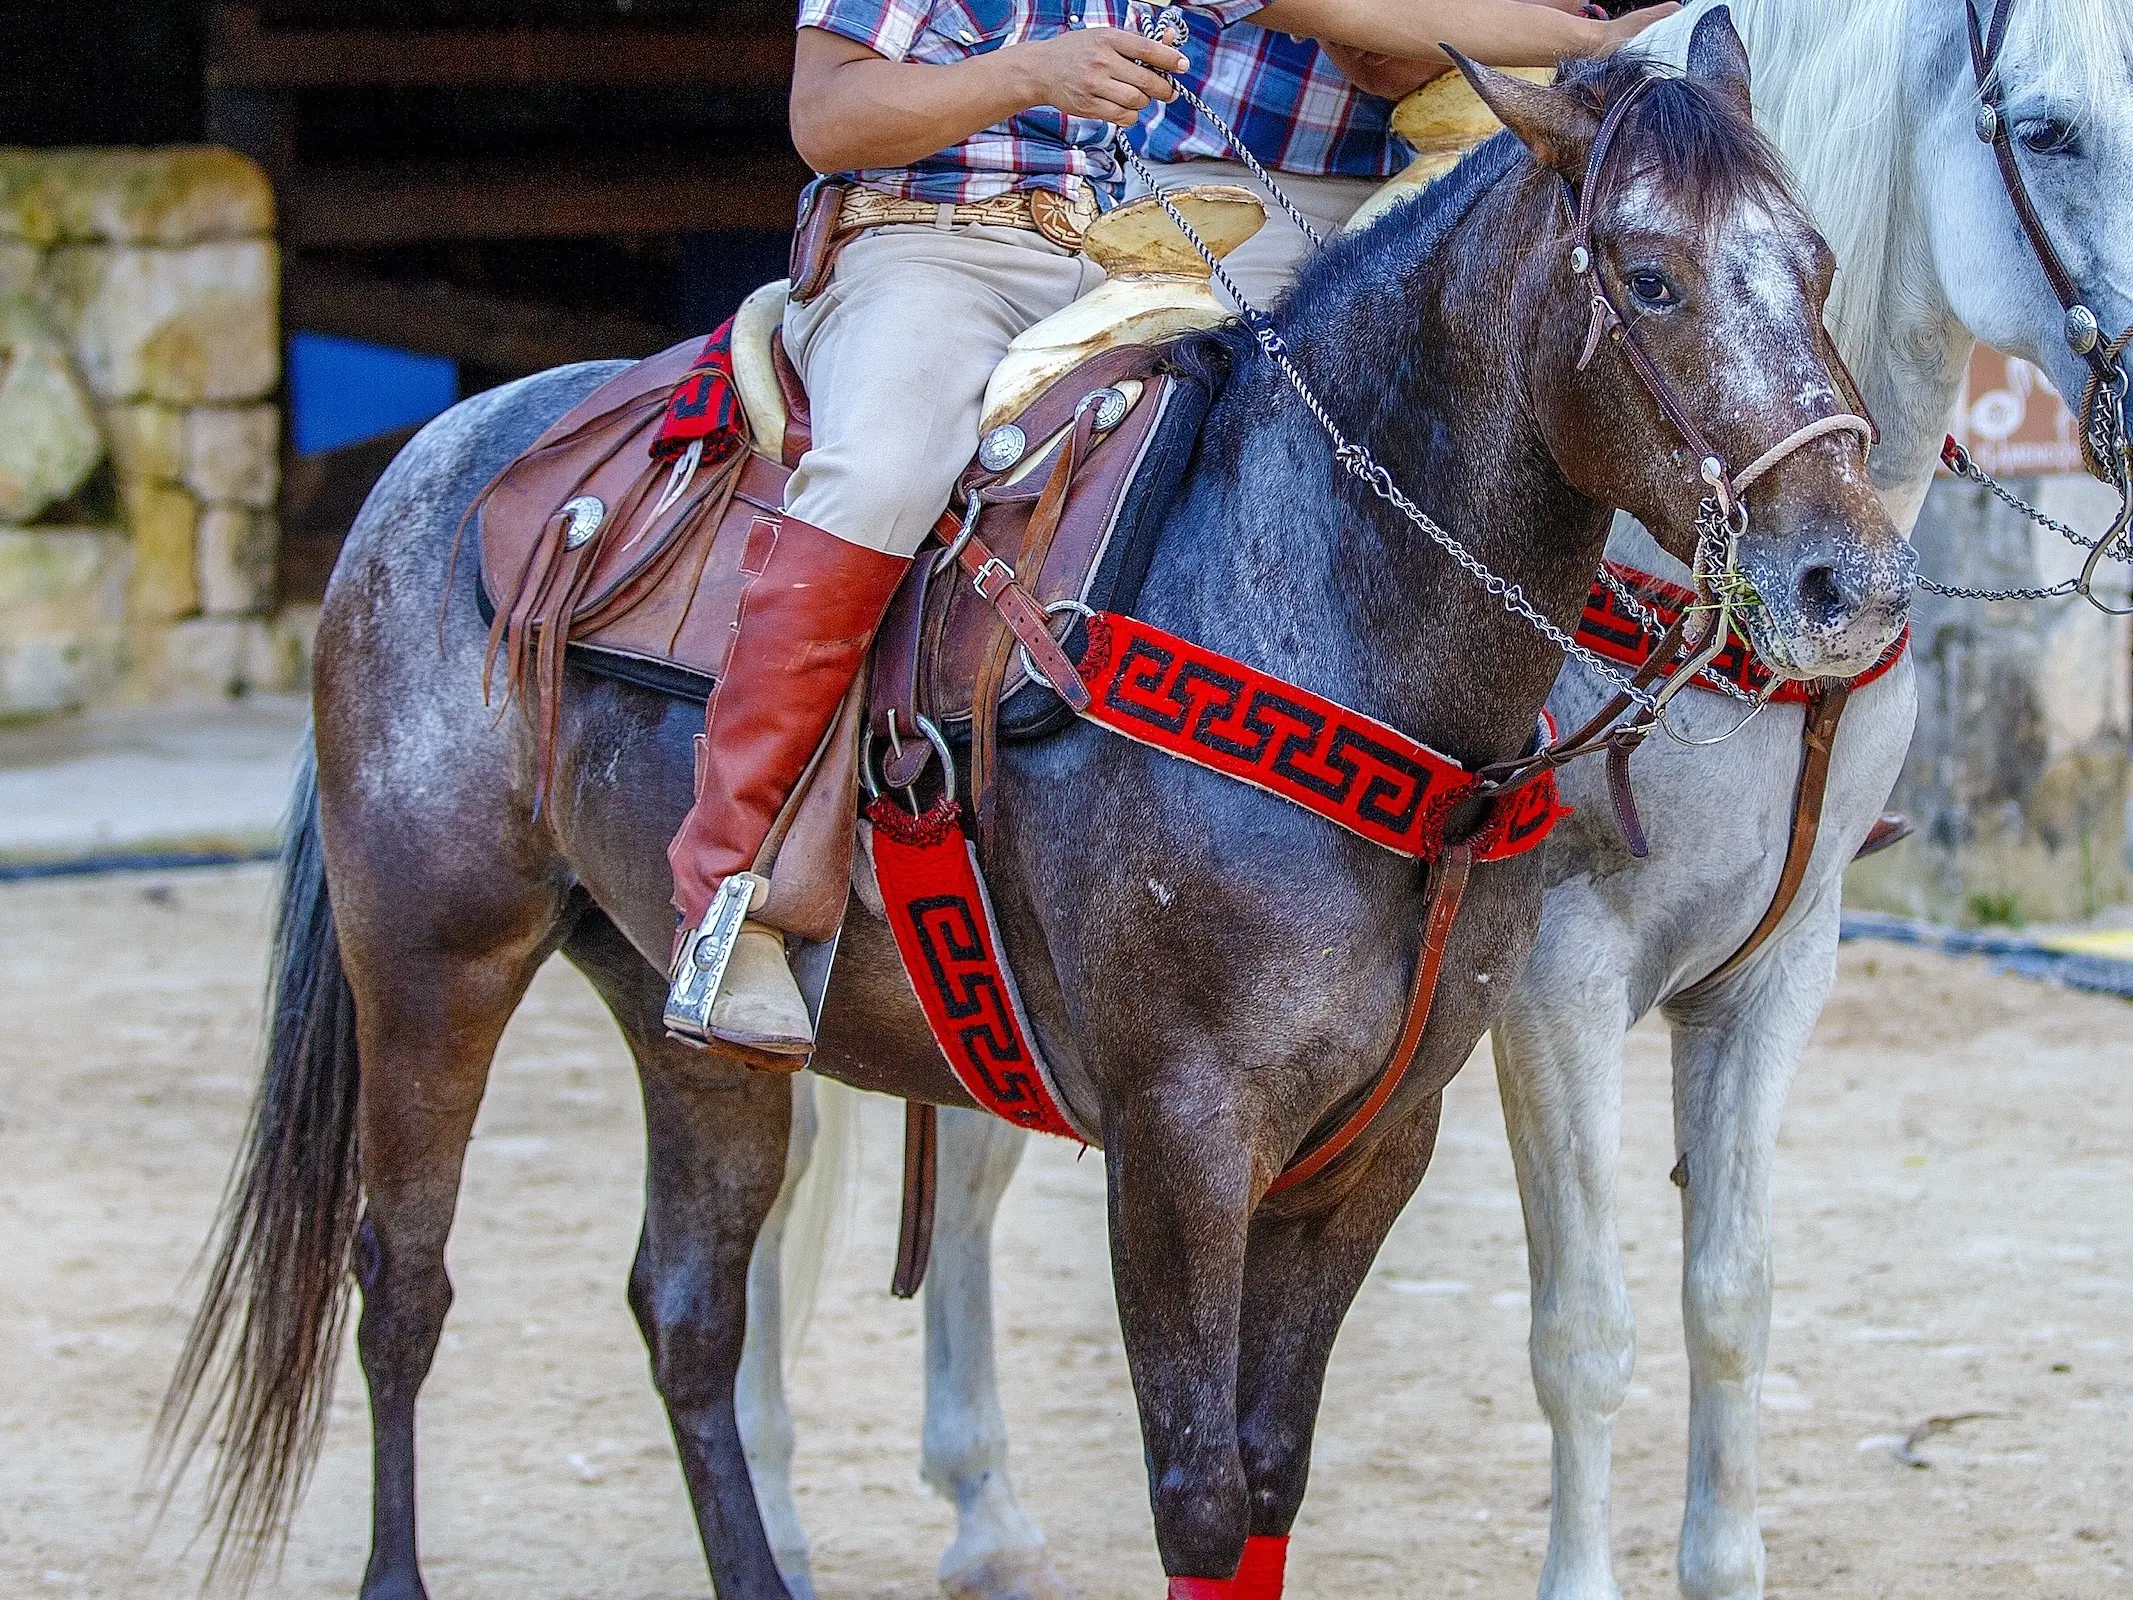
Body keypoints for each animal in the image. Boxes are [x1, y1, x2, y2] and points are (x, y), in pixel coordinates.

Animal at [157, 28, 1911, 1600]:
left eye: (1816, 263)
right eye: (1648, 277)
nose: (1850, 585)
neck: (1317, 598)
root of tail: (429, 462)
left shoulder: (1371, 1147)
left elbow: (1268, 1480)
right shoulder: (1180, 1144)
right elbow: (1199, 1497)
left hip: (686, 1026)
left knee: (689, 1313)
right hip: (431, 957)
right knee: (402, 1284)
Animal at [738, 6, 2133, 1595]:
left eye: (1821, 265)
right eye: (2045, 129)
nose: (1848, 589)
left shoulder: (1781, 962)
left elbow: (1731, 1299)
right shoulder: (1554, 981)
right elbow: (1586, 1330)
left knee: (963, 1165)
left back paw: (984, 1512)